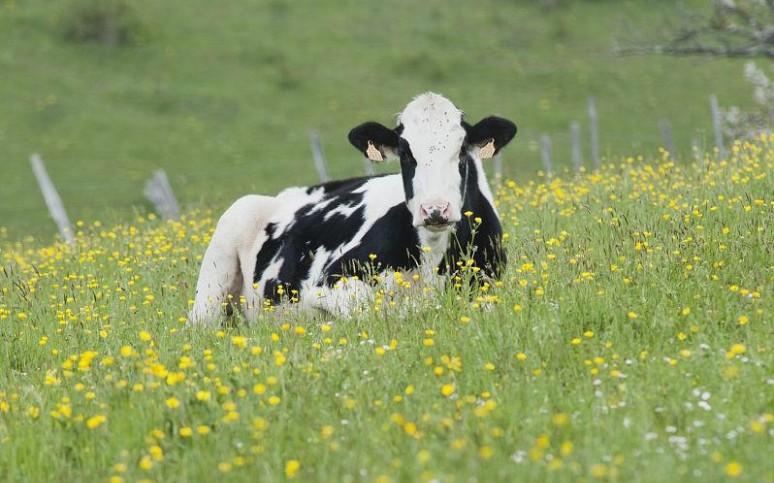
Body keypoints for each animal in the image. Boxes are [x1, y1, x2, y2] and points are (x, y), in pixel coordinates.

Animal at [189, 92, 520, 328]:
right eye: (405, 152)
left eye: (462, 150)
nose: (435, 209)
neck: (432, 257)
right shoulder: (328, 283)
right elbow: (379, 309)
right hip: (211, 285)